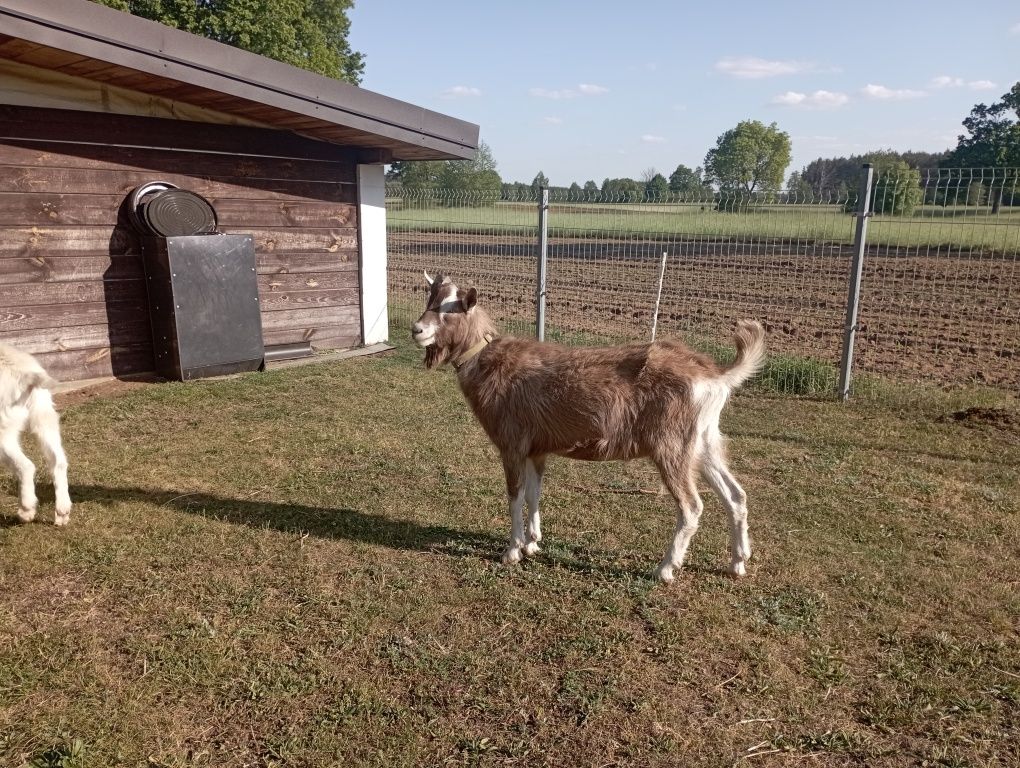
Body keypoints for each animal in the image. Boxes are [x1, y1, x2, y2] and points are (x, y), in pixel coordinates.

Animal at [0, 344, 71, 526]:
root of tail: (21, 373)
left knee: (26, 466)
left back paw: (26, 510)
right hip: (44, 417)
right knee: (59, 462)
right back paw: (62, 512)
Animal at [408, 271, 767, 579]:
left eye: (452, 309)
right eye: (430, 298)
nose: (417, 330)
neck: (486, 360)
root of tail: (715, 375)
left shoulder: (512, 444)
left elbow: (515, 496)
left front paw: (512, 551)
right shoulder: (537, 449)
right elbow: (534, 494)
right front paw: (533, 543)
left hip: (671, 445)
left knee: (692, 506)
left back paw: (666, 569)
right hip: (703, 442)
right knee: (736, 496)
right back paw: (738, 562)